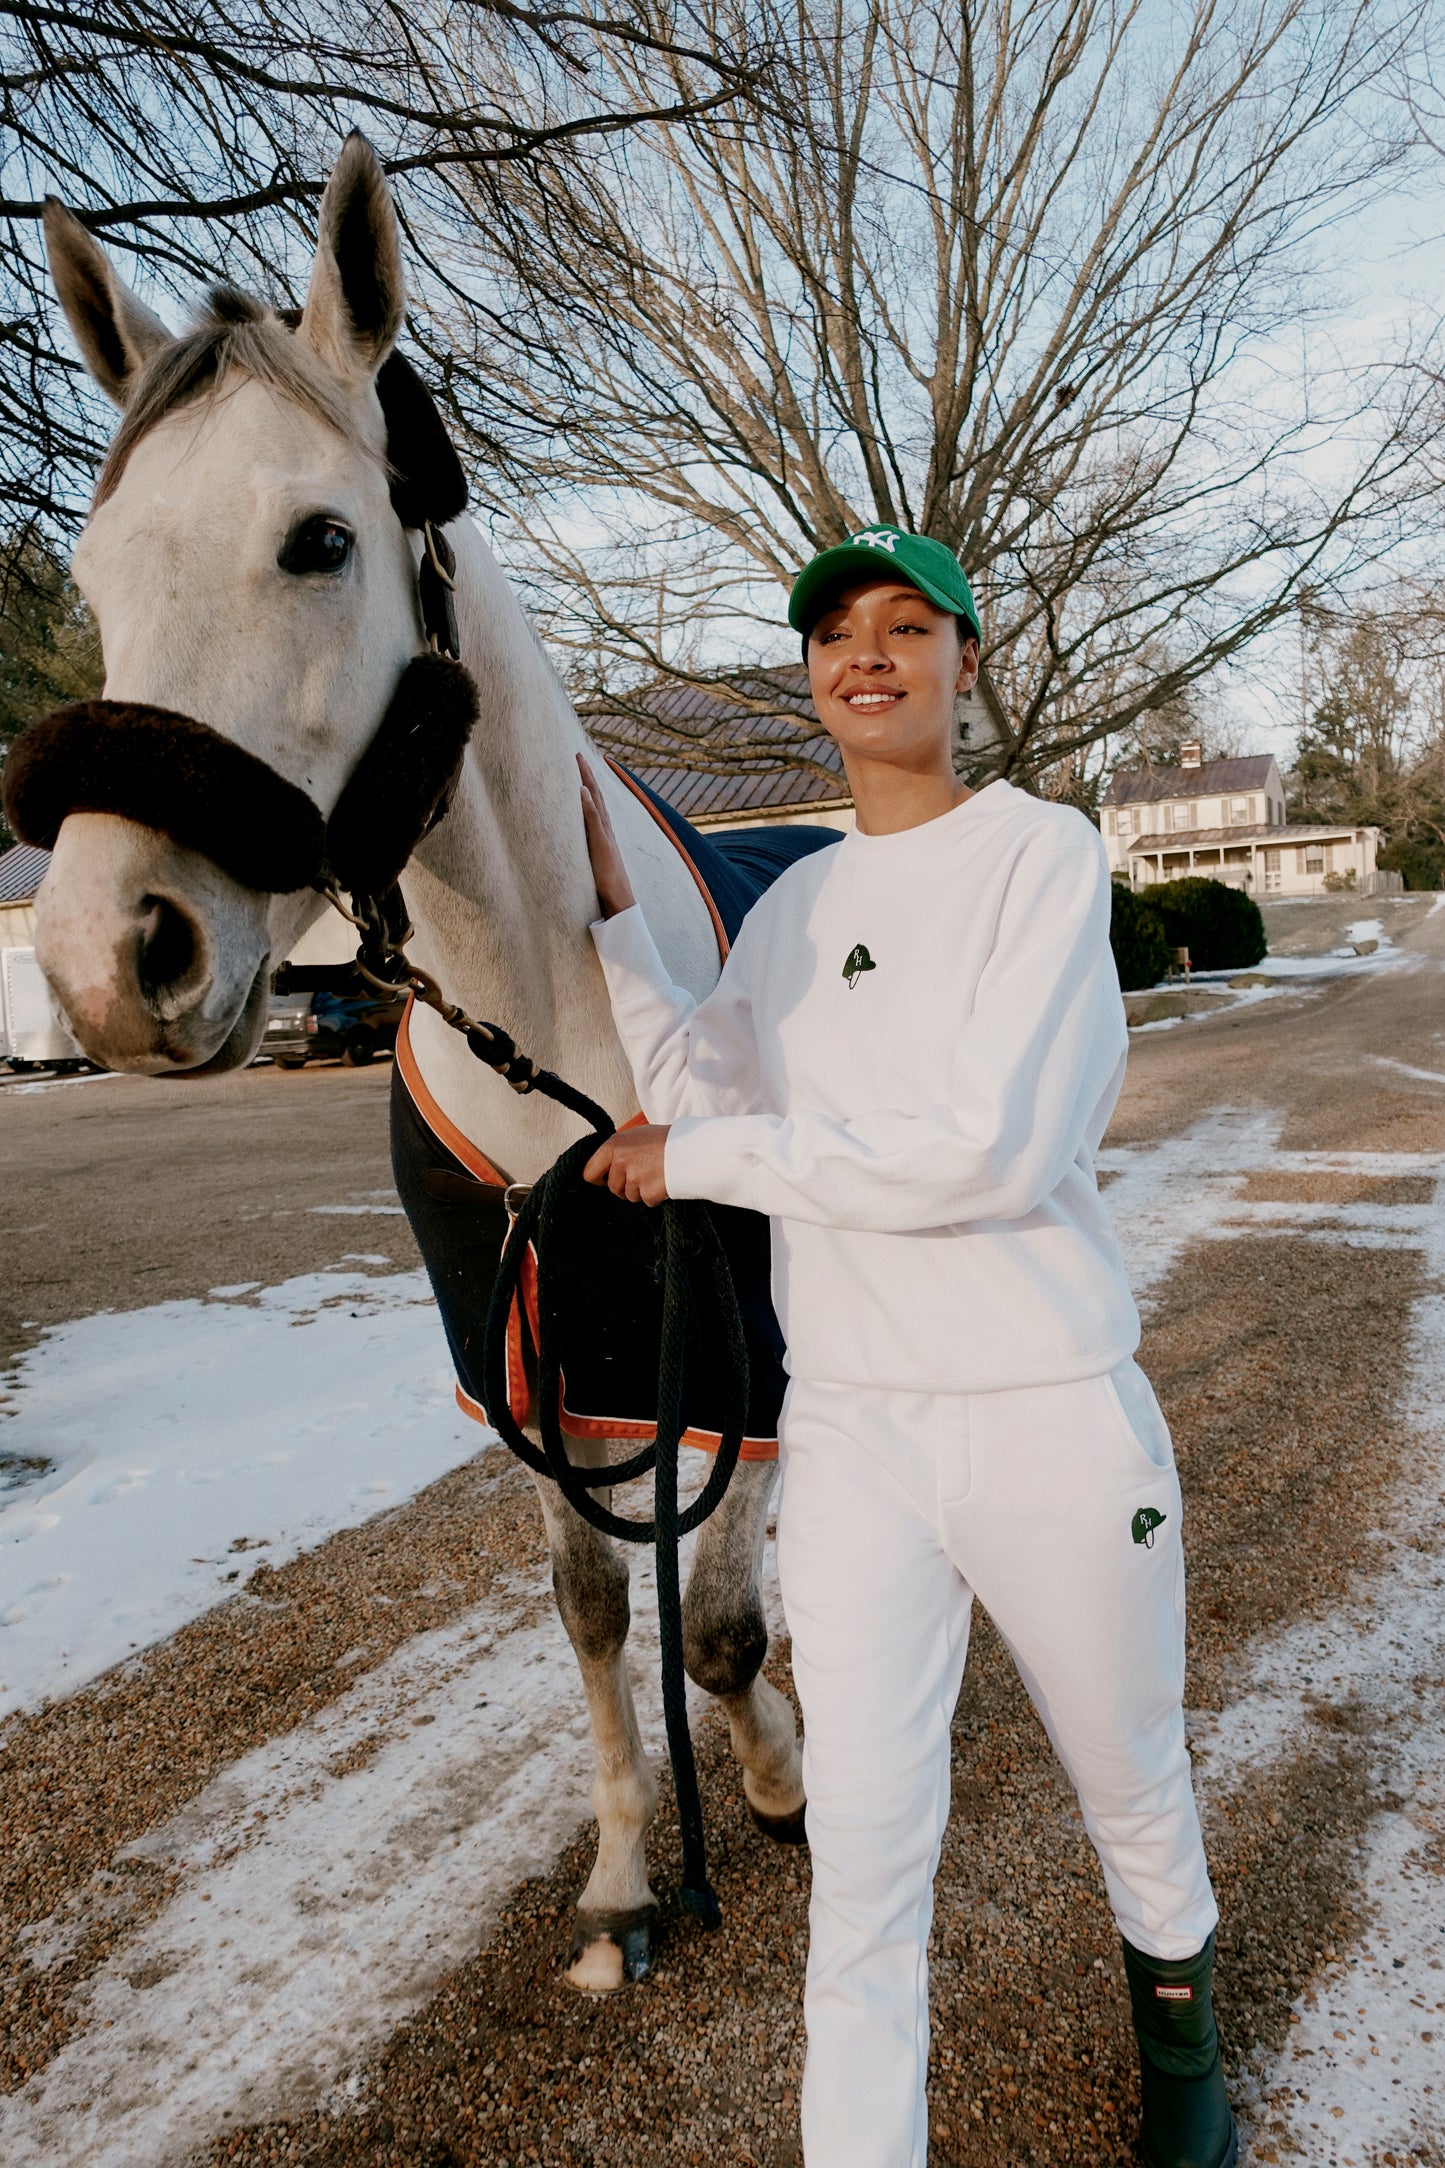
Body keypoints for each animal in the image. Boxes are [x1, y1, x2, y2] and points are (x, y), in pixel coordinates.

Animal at [22, 131, 810, 1994]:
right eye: (93, 575)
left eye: (320, 540)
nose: (103, 962)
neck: (555, 1019)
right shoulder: (541, 1357)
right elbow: (598, 1614)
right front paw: (622, 1876)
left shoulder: (729, 1357)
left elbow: (717, 1628)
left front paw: (773, 1782)